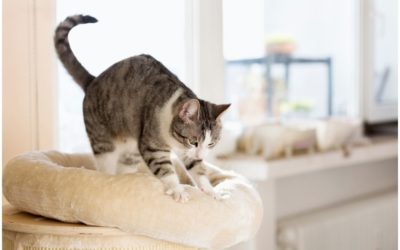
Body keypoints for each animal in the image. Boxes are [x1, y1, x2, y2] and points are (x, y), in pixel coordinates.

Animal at [55, 15, 231, 203]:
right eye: (193, 141)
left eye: (211, 143)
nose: (200, 155)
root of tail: (93, 80)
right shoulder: (152, 144)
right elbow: (165, 168)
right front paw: (177, 189)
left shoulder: (186, 153)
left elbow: (198, 169)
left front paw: (211, 191)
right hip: (103, 141)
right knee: (105, 165)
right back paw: (109, 179)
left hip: (131, 152)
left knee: (125, 167)